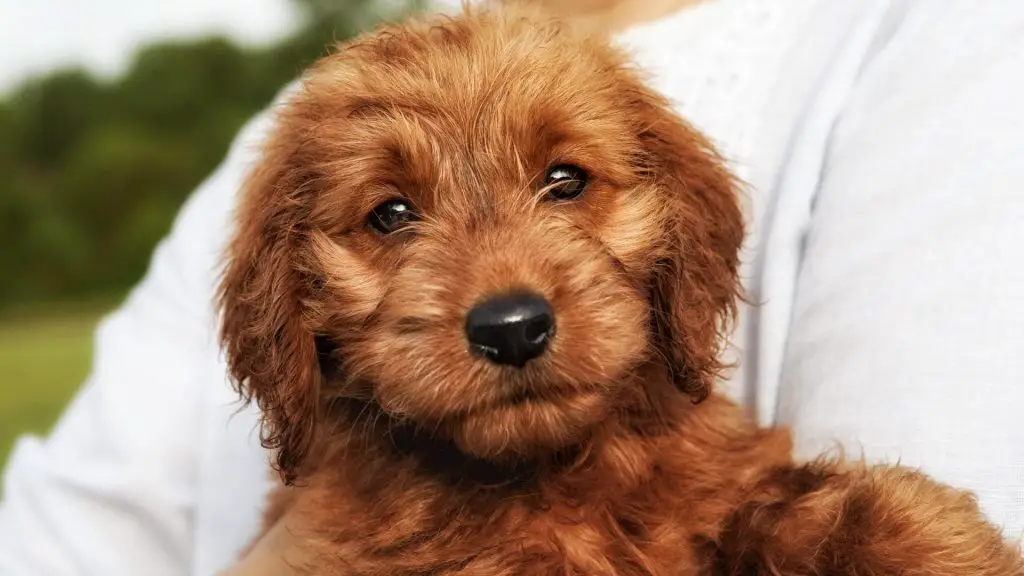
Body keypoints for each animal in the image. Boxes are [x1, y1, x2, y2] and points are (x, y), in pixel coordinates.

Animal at [218, 4, 1024, 573]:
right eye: (390, 215)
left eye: (565, 179)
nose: (511, 327)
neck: (555, 474)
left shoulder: (720, 479)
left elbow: (799, 508)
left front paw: (936, 544)